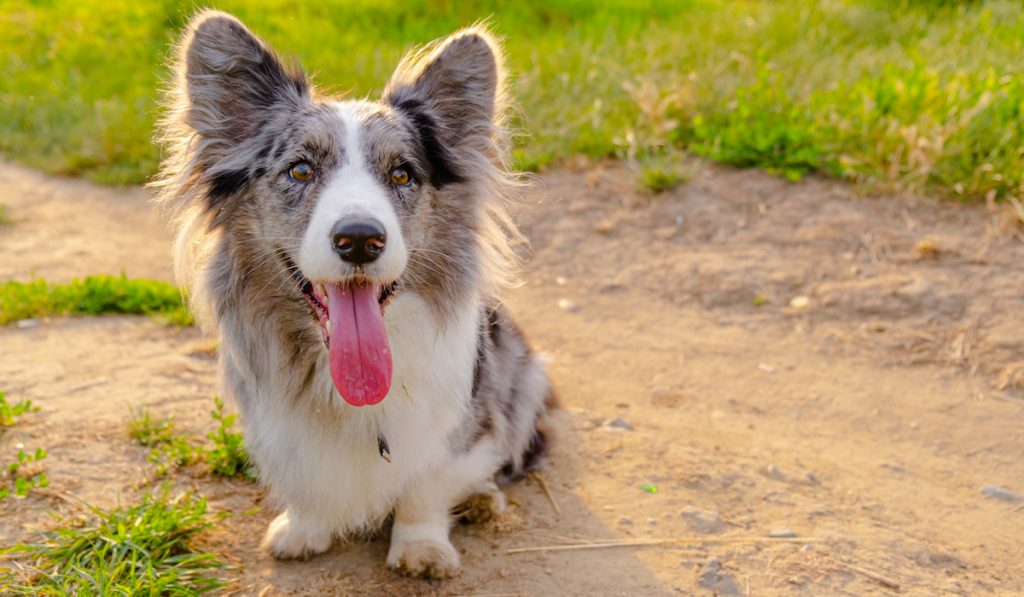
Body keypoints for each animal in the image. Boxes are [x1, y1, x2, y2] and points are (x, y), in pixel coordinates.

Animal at [153, 9, 552, 577]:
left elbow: (426, 487)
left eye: (402, 174)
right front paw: (304, 528)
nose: (360, 239)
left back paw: (482, 499)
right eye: (300, 169)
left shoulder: (459, 423)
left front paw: (421, 548)